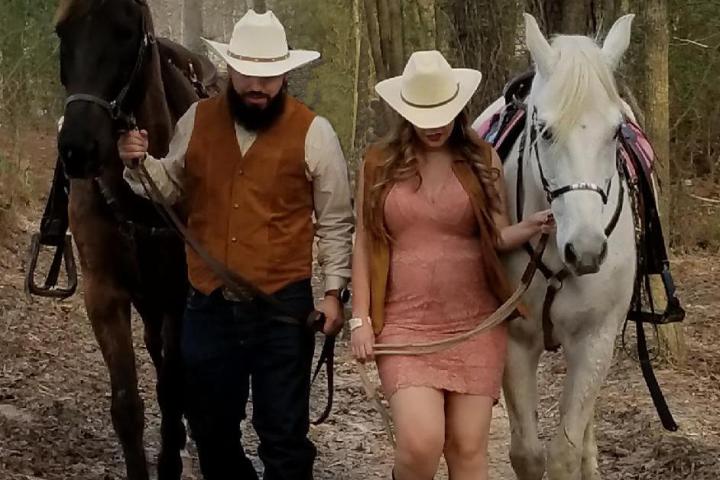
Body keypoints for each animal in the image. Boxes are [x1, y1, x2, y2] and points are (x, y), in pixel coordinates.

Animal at [52, 1, 219, 478]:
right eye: (62, 33)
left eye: (126, 32)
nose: (77, 148)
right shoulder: (105, 293)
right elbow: (127, 405)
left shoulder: (179, 295)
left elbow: (172, 387)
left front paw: (170, 459)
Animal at [476, 12, 640, 480]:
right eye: (544, 131)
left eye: (616, 131)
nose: (586, 251)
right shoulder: (515, 342)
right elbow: (528, 454)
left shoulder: (596, 340)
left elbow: (566, 449)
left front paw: (580, 458)